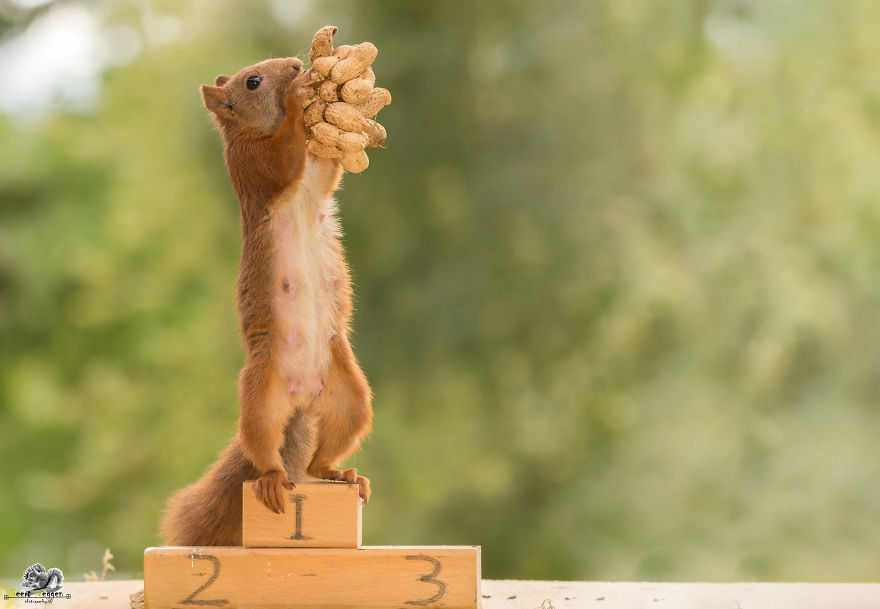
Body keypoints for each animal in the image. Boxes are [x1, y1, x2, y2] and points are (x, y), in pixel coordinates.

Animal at [159, 56, 373, 546]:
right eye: (253, 81)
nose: (296, 64)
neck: (255, 131)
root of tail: (302, 399)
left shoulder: (317, 179)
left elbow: (327, 172)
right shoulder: (254, 169)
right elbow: (282, 161)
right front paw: (297, 99)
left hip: (350, 396)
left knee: (318, 458)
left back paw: (342, 474)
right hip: (261, 395)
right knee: (264, 450)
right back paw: (275, 478)